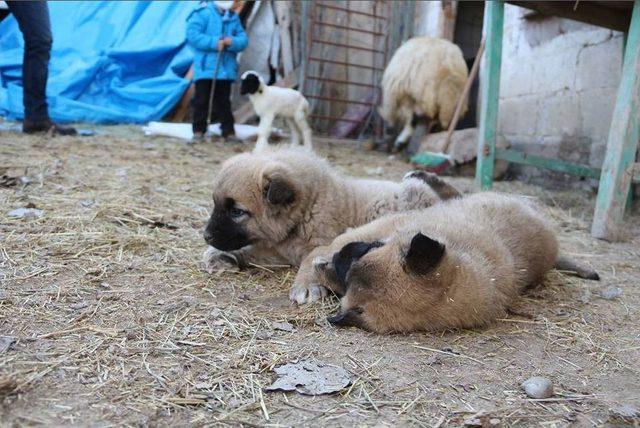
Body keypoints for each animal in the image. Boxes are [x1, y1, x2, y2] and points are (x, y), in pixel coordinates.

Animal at [202, 145, 462, 302]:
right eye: (215, 204)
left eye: (236, 211)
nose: (206, 236)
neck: (305, 213)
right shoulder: (280, 252)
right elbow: (254, 251)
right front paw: (221, 256)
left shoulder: (326, 244)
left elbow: (310, 258)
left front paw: (306, 285)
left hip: (413, 196)